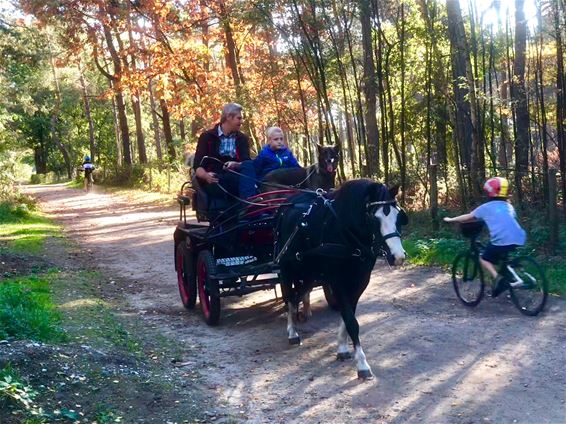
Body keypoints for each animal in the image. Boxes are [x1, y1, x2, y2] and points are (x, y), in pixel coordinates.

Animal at [276, 177, 406, 380]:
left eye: (399, 216)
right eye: (374, 219)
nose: (398, 257)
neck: (345, 231)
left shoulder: (360, 281)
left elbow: (347, 315)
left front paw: (343, 348)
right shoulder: (338, 281)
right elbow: (351, 321)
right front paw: (362, 364)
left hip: (308, 271)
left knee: (298, 294)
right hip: (287, 268)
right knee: (289, 297)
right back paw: (292, 332)